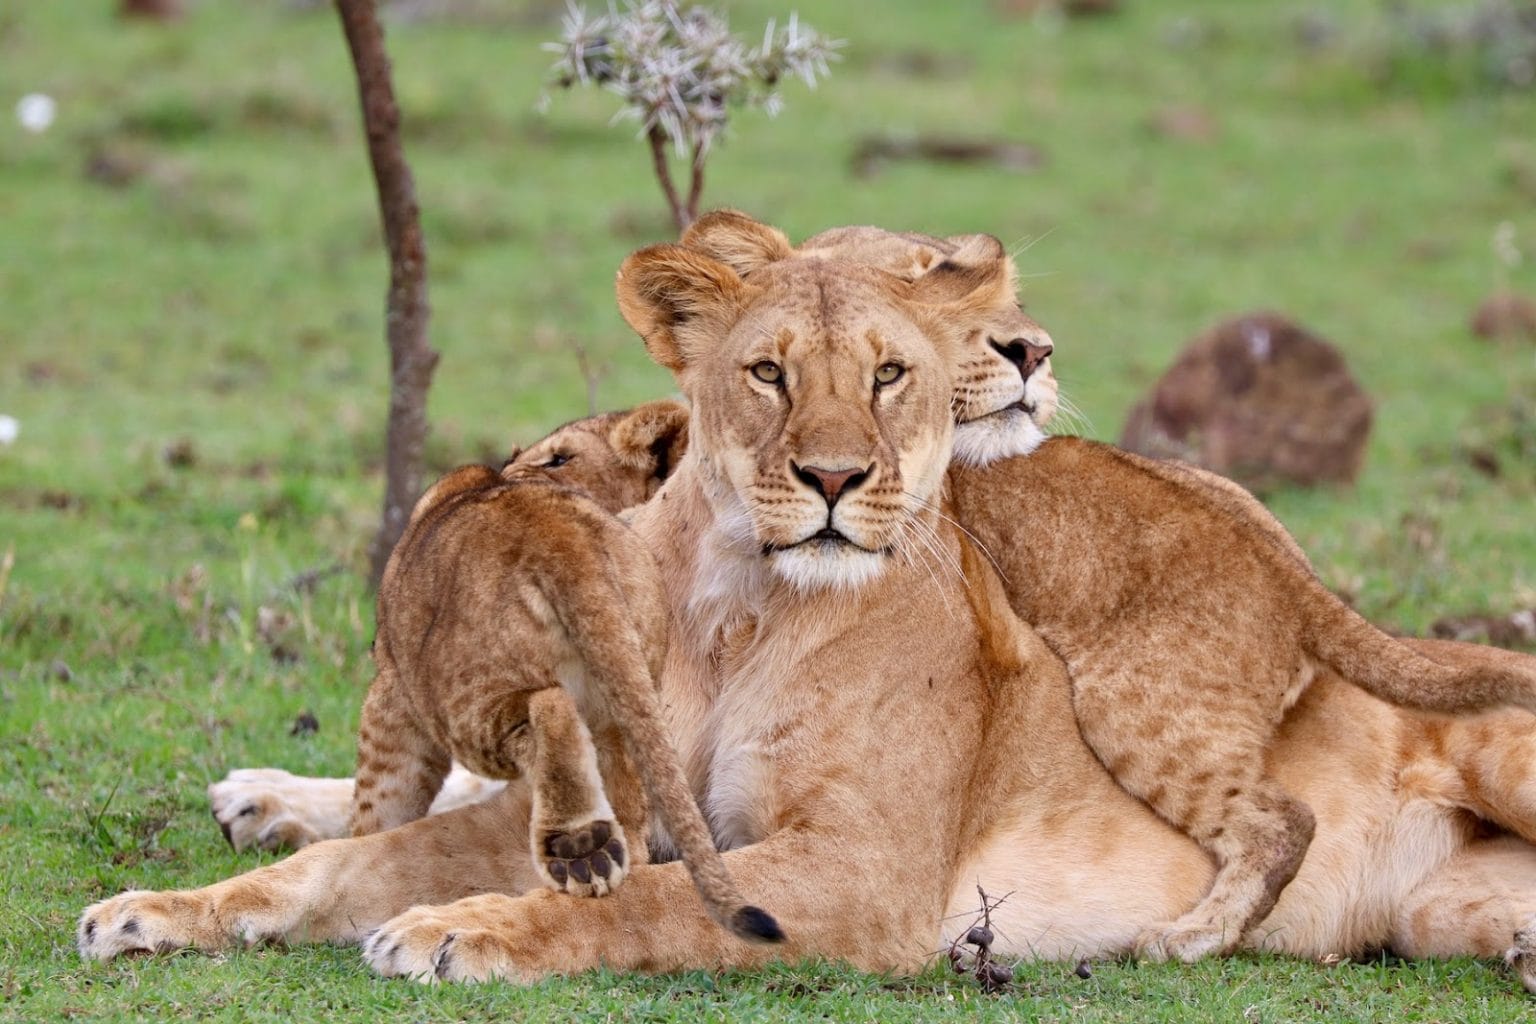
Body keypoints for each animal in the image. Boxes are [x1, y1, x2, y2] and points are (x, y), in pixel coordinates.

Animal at [78, 235, 1536, 998]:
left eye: (888, 374)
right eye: (769, 373)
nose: (834, 480)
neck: (738, 609)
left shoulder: (864, 873)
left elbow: (638, 903)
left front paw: (464, 930)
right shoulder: (599, 790)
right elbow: (354, 863)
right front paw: (159, 908)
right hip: (1431, 907)